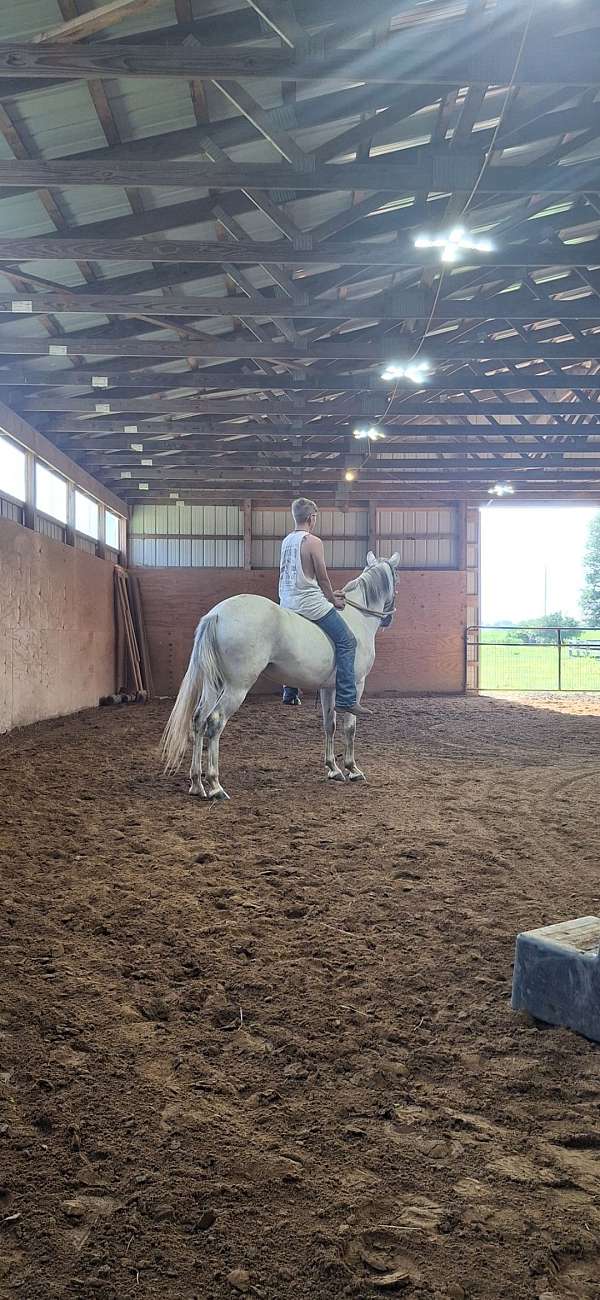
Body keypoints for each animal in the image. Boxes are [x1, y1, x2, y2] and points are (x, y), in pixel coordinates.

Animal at [161, 551, 399, 800]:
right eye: (397, 578)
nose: (388, 619)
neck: (357, 617)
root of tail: (217, 614)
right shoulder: (357, 683)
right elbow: (350, 727)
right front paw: (352, 769)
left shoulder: (328, 688)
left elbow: (329, 724)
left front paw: (333, 769)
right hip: (236, 687)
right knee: (215, 722)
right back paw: (215, 785)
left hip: (213, 684)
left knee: (198, 720)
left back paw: (197, 783)